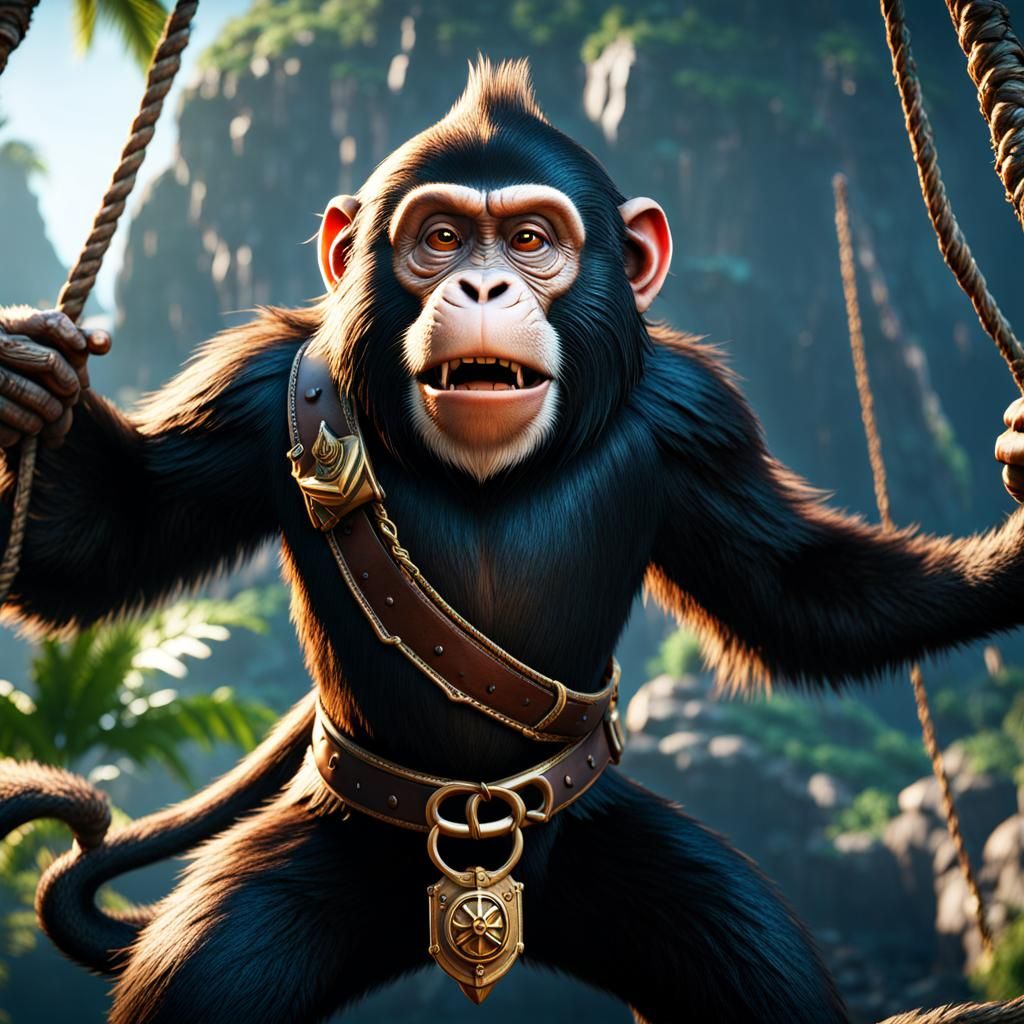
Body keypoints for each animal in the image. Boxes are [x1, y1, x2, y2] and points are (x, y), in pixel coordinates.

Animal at [3, 58, 1024, 1024]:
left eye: (532, 241)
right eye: (441, 238)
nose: (484, 282)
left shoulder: (697, 419)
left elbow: (791, 591)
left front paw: (1011, 546)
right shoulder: (255, 392)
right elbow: (113, 535)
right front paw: (29, 376)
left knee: (754, 965)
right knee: (208, 976)